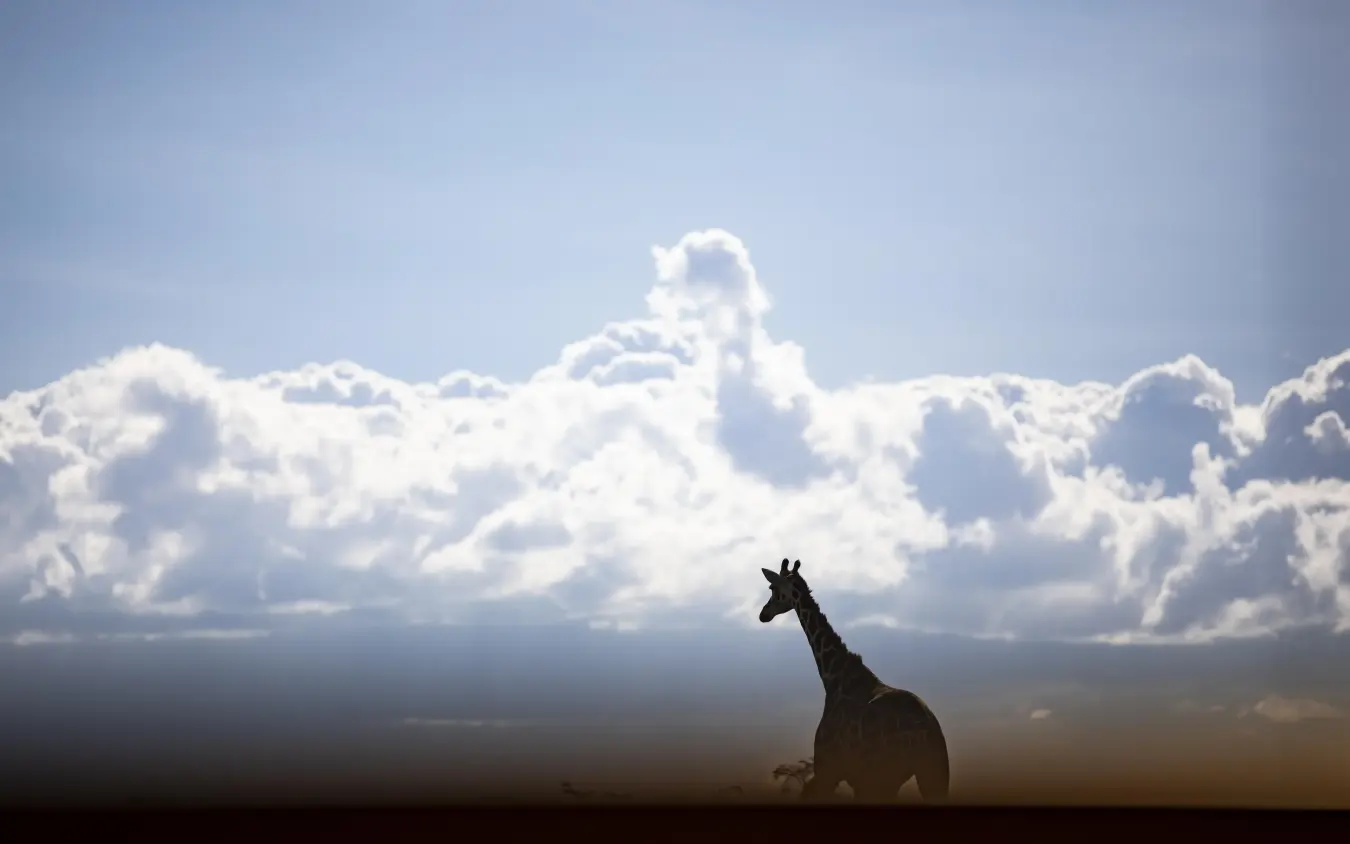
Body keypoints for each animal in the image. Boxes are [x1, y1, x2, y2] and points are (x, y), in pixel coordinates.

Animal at [759, 558, 950, 803]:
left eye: (772, 588)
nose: (763, 614)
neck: (834, 676)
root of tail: (926, 728)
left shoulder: (829, 768)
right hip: (933, 773)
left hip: (888, 774)